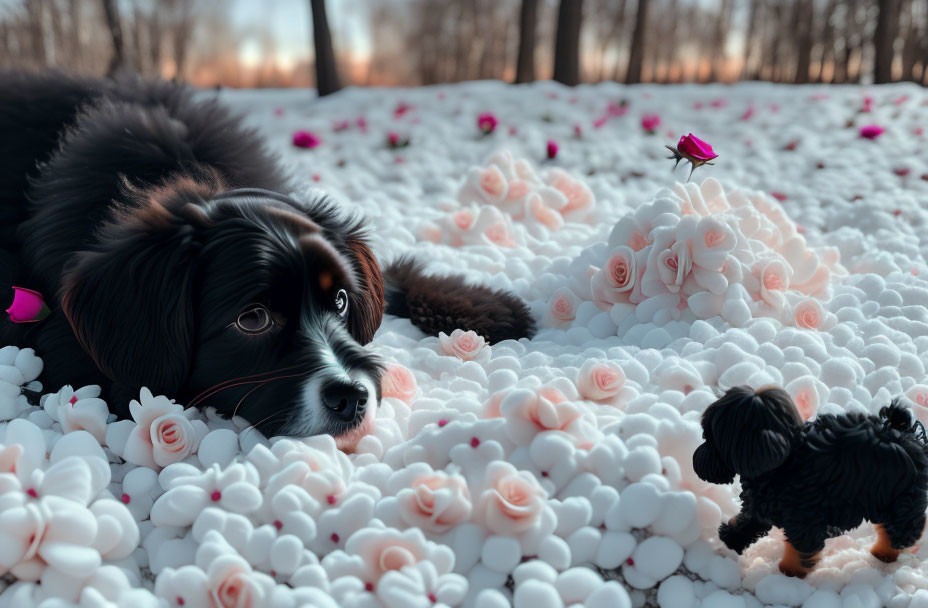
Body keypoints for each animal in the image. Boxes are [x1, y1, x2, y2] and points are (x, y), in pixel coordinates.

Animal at [692, 388, 924, 576]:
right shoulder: (761, 504)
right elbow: (746, 522)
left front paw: (790, 572)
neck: (783, 460)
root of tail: (905, 433)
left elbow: (800, 547)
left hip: (900, 501)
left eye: (709, 438)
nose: (696, 462)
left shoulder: (804, 518)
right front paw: (730, 538)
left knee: (904, 528)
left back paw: (885, 553)